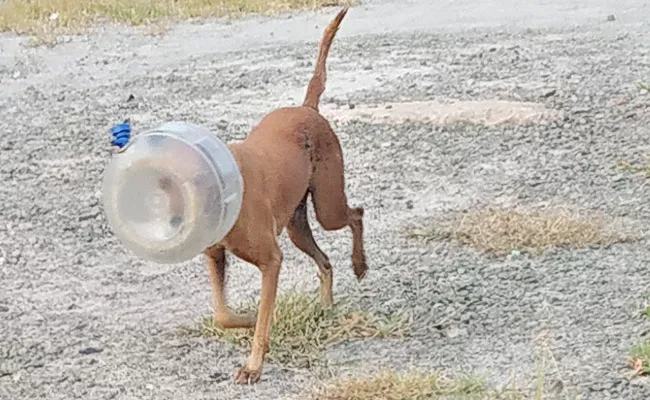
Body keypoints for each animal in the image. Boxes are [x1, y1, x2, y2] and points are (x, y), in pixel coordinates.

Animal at [202, 7, 364, 384]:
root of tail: (308, 108)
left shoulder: (271, 261)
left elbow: (262, 318)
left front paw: (253, 364)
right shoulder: (216, 256)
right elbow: (223, 314)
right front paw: (248, 320)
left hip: (327, 207)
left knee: (356, 215)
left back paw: (359, 264)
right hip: (296, 226)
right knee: (325, 262)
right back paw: (326, 306)